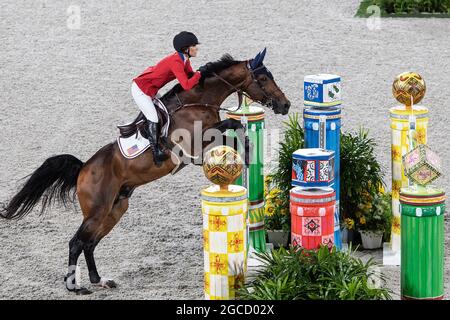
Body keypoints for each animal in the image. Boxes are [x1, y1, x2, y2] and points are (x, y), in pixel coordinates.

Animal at [0, 48, 290, 296]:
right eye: (263, 78)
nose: (284, 105)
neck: (199, 102)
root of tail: (83, 169)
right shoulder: (196, 147)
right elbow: (230, 125)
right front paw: (247, 150)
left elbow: (232, 128)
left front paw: (247, 150)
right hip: (98, 210)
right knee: (76, 242)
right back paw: (75, 286)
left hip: (115, 208)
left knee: (89, 243)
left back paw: (99, 280)